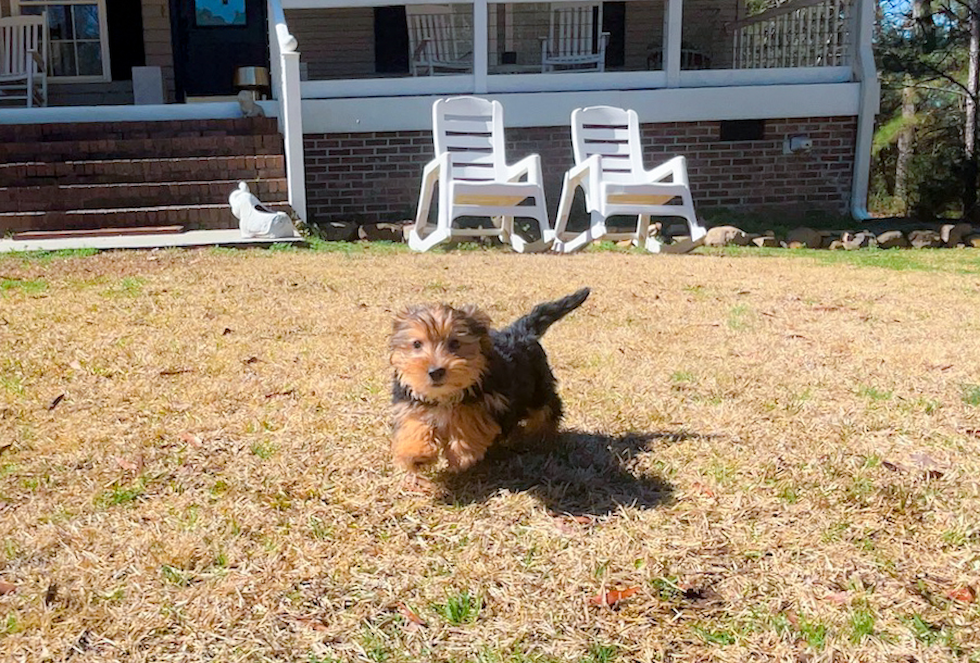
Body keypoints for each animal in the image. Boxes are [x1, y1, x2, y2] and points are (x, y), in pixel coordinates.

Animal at [388, 286, 588, 478]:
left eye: (455, 343)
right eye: (416, 344)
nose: (435, 371)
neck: (446, 395)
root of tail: (521, 332)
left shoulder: (496, 400)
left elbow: (470, 417)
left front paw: (460, 455)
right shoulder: (410, 402)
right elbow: (414, 423)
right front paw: (415, 454)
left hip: (537, 388)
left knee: (548, 407)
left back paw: (541, 435)